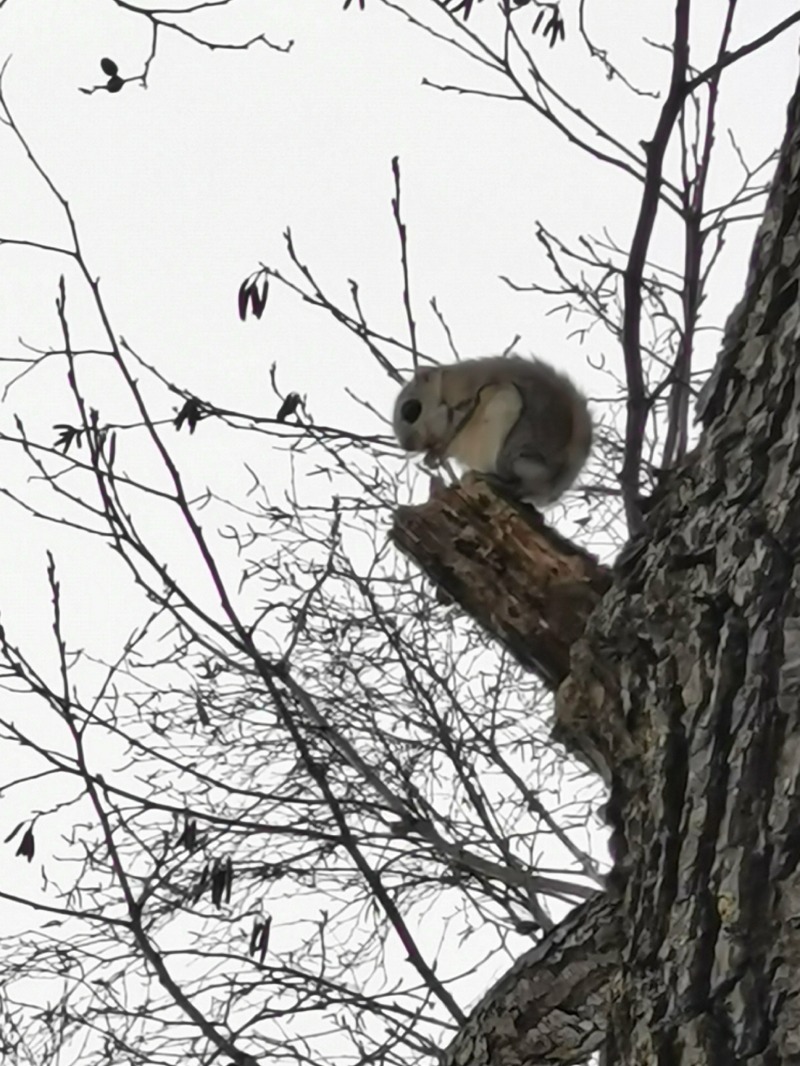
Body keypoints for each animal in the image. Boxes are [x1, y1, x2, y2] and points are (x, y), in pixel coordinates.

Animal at [392, 356, 593, 505]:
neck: (442, 388)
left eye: (410, 410)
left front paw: (436, 453)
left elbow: (456, 424)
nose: (407, 446)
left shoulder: (466, 393)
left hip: (508, 436)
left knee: (513, 482)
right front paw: (431, 457)